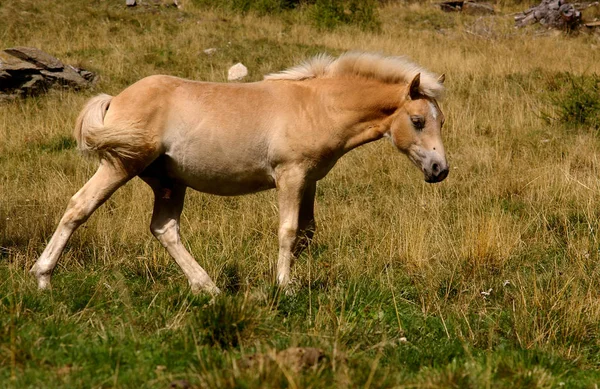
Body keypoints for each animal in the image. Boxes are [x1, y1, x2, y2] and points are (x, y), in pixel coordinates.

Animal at [30, 52, 448, 294]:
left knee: (165, 229)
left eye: (440, 120)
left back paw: (208, 288)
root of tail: (116, 99)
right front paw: (285, 287)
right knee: (78, 207)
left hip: (168, 182)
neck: (316, 107)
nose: (439, 169)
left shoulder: (310, 181)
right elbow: (288, 232)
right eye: (417, 121)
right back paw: (43, 277)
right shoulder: (290, 177)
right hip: (120, 165)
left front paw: (288, 279)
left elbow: (307, 233)